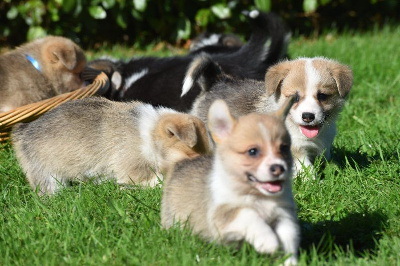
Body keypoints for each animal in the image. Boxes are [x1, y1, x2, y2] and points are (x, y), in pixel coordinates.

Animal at [162, 96, 300, 264]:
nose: (279, 168)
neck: (259, 197)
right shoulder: (223, 214)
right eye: (252, 151)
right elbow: (249, 215)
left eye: (284, 148)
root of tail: (182, 161)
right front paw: (268, 241)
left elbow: (288, 238)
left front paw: (289, 261)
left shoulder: (283, 216)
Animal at [181, 55, 354, 176]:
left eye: (322, 96)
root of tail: (217, 81)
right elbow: (306, 168)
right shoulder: (295, 151)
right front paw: (313, 183)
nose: (308, 116)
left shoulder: (324, 147)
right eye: (295, 97)